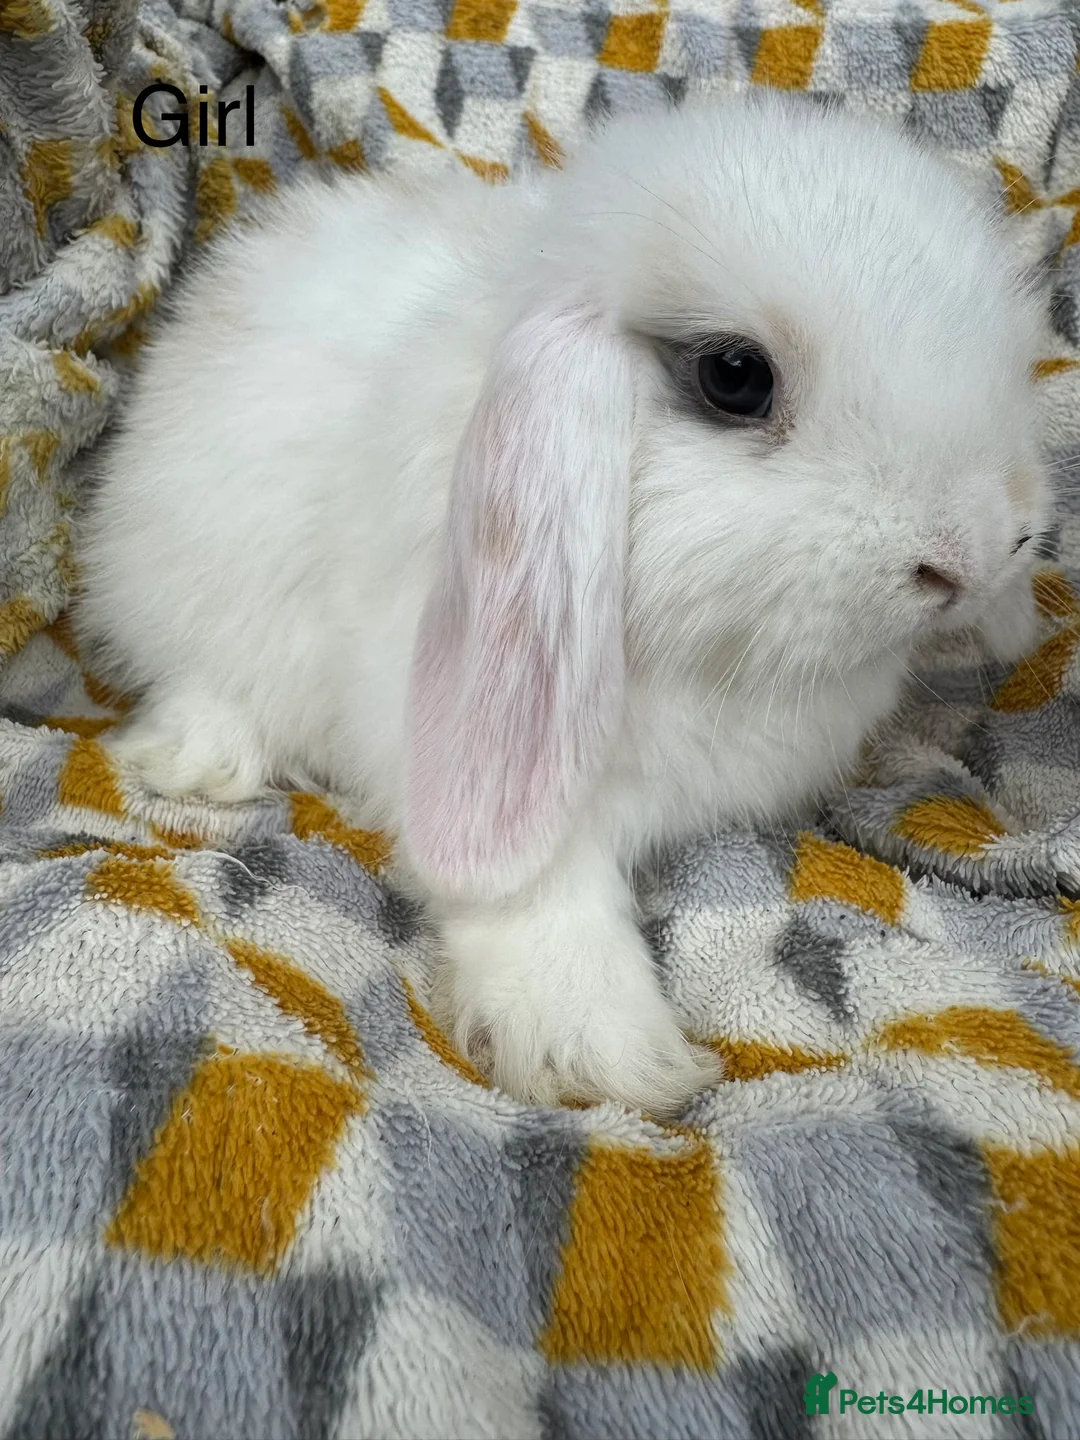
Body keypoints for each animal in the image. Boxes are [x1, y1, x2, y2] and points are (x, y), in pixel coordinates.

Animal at [77, 91, 1051, 1115]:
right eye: (734, 376)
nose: (979, 553)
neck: (722, 664)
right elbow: (537, 894)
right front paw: (602, 1052)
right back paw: (203, 764)